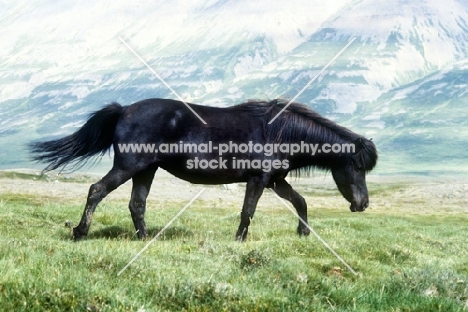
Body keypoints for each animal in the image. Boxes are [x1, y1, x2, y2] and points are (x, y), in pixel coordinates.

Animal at [30, 98, 376, 240]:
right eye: (358, 166)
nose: (362, 204)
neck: (279, 133)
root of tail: (124, 110)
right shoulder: (259, 179)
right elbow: (248, 211)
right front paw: (239, 240)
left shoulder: (276, 180)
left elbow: (300, 202)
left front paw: (303, 232)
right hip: (129, 166)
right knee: (97, 190)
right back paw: (80, 232)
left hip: (146, 170)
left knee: (136, 204)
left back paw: (144, 238)